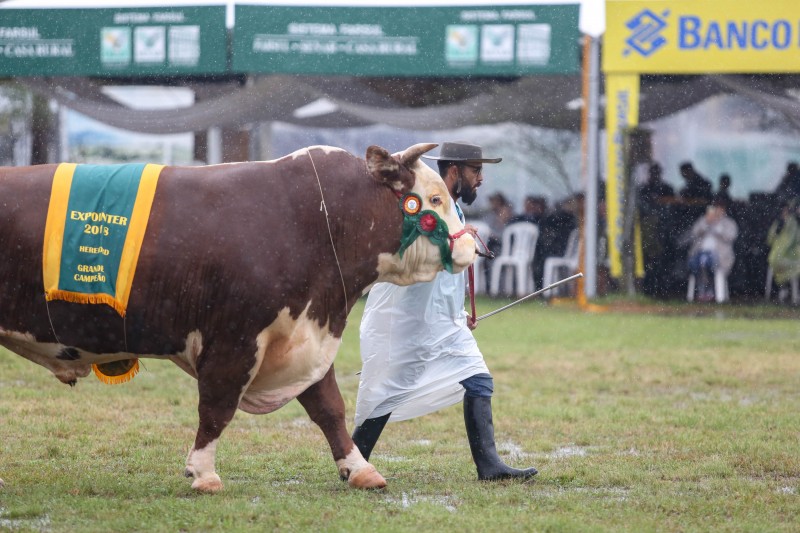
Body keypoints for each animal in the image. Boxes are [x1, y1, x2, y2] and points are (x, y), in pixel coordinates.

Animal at [0, 143, 476, 492]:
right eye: (434, 199)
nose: (475, 247)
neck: (313, 221)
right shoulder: (235, 337)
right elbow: (217, 406)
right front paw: (203, 473)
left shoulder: (304, 336)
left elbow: (329, 408)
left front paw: (359, 469)